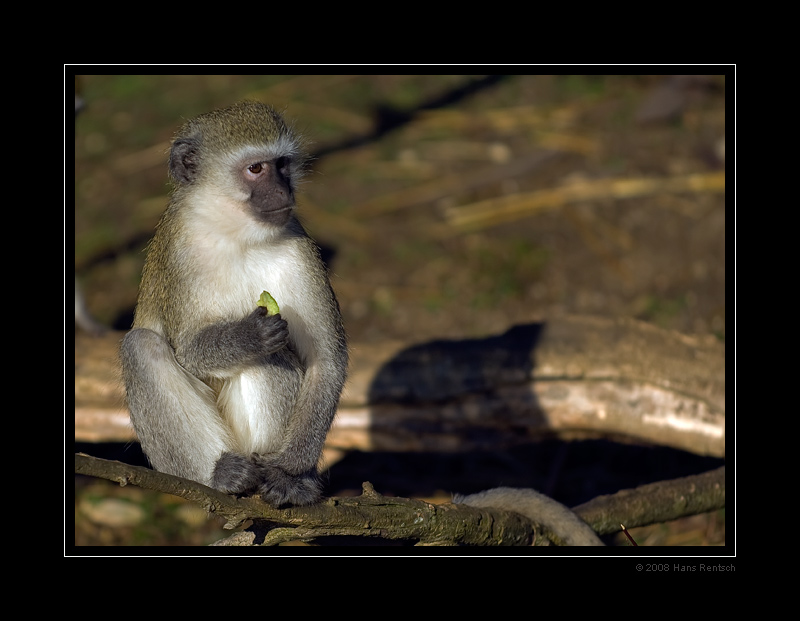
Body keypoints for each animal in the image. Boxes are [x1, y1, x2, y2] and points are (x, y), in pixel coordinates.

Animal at [119, 101, 346, 506]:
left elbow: (325, 360)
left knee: (275, 357)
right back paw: (220, 473)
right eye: (256, 169)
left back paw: (292, 479)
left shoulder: (299, 246)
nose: (282, 191)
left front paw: (289, 472)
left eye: (282, 164)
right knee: (141, 346)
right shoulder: (179, 254)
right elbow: (189, 351)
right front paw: (248, 336)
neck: (235, 234)